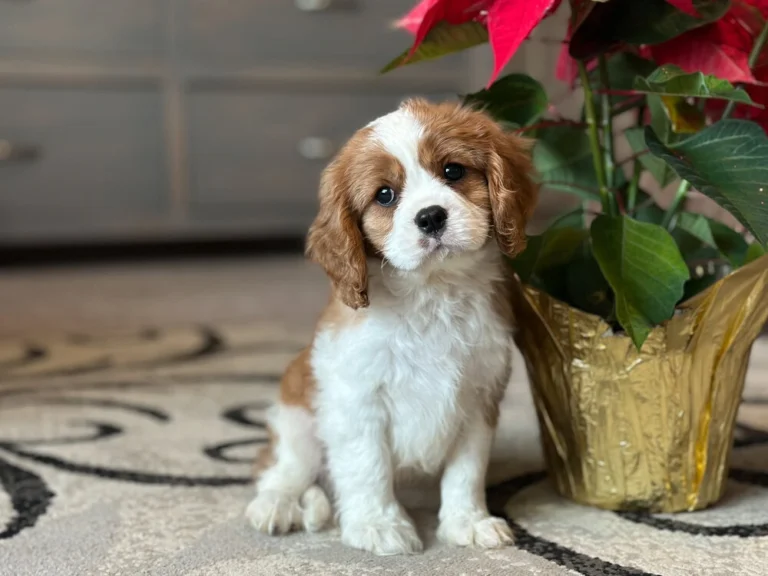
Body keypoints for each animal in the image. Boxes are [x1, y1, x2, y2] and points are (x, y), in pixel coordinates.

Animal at [249, 98, 536, 552]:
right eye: (385, 195)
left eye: (453, 171)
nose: (431, 217)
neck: (433, 293)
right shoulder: (358, 400)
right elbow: (369, 466)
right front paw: (378, 524)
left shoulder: (478, 399)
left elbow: (466, 471)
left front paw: (467, 522)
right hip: (295, 416)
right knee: (283, 467)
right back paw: (276, 503)